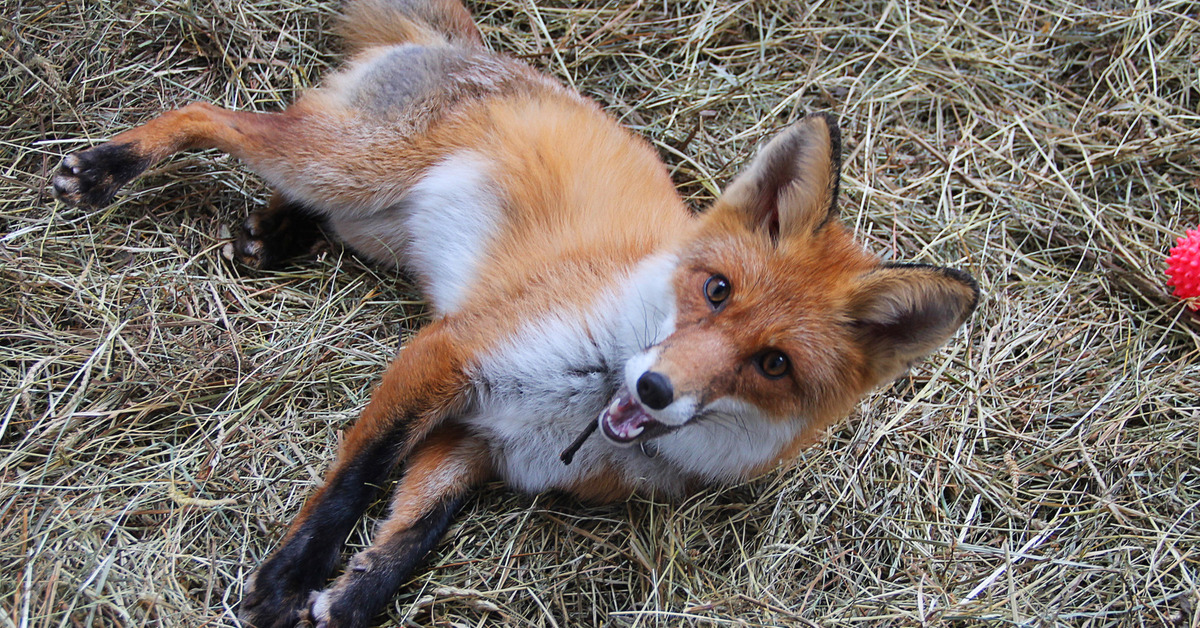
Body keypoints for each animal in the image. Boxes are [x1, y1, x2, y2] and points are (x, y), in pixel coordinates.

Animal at [51, 0, 979, 624]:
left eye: (774, 363)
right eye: (716, 291)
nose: (654, 390)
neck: (578, 395)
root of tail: (480, 50)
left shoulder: (478, 442)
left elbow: (414, 529)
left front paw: (349, 599)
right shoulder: (448, 352)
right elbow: (359, 478)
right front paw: (290, 577)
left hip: (371, 219)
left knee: (295, 188)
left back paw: (275, 231)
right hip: (344, 165)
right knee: (213, 117)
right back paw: (109, 166)